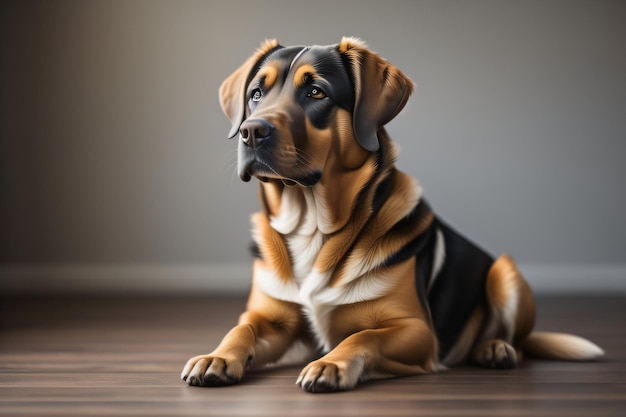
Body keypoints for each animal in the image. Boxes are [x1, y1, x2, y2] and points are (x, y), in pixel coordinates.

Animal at [179, 37, 600, 392]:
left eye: (316, 92)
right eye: (256, 94)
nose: (251, 131)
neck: (312, 226)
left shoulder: (417, 331)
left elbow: (363, 335)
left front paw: (331, 364)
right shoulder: (272, 319)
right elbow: (241, 329)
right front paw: (217, 356)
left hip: (504, 271)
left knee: (519, 340)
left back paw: (495, 347)